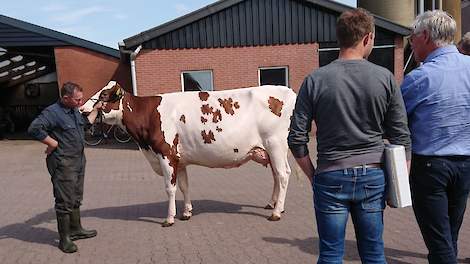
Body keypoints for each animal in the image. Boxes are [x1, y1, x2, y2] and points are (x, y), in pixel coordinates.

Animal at [93, 82, 296, 227]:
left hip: (275, 144)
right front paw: (186, 212)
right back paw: (274, 205)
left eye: (103, 95)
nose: (86, 108)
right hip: (271, 150)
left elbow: (170, 188)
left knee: (283, 175)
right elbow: (184, 186)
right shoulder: (180, 160)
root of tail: (288, 91)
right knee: (276, 175)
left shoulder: (166, 154)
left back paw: (276, 212)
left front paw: (169, 218)